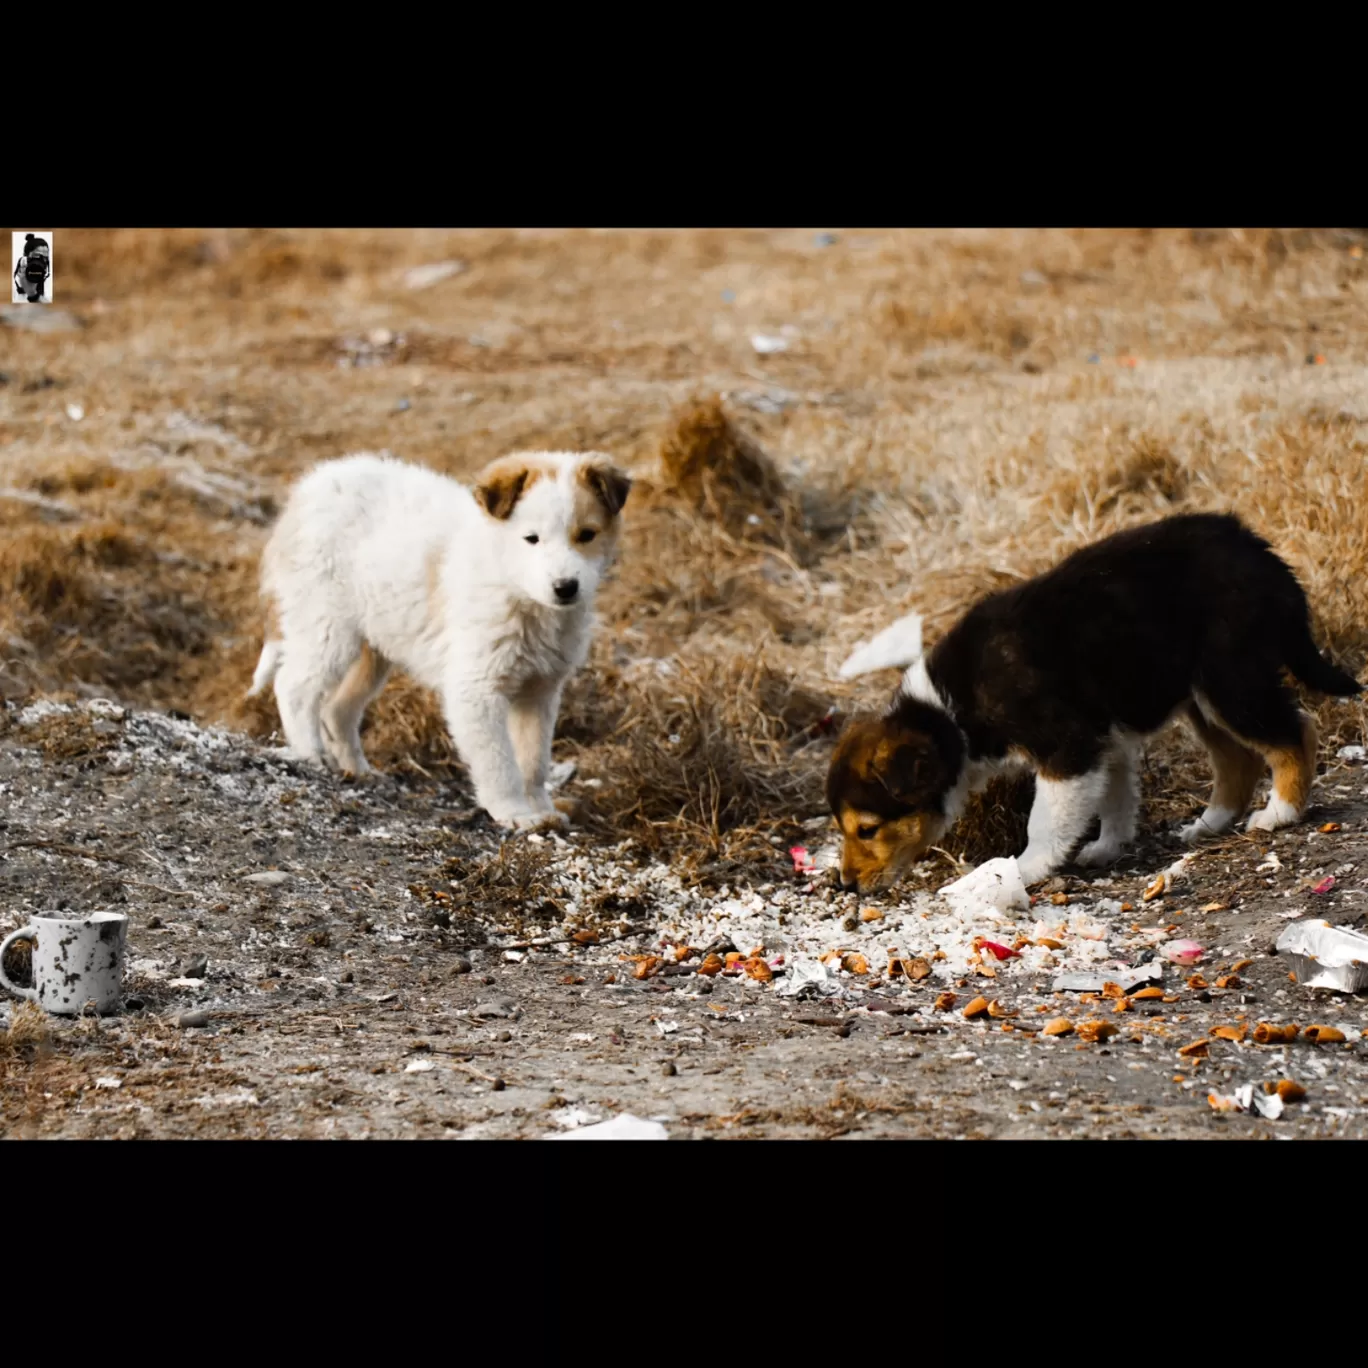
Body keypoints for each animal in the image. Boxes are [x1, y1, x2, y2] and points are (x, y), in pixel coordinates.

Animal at [247, 454, 629, 826]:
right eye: (531, 539)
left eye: (587, 535)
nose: (566, 587)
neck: (514, 587)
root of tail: (306, 493)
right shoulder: (476, 689)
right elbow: (499, 761)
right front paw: (514, 813)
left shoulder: (540, 691)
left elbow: (534, 761)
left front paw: (542, 810)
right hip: (326, 626)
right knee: (293, 686)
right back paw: (310, 754)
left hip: (374, 646)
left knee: (337, 709)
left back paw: (358, 771)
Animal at [826, 517, 1362, 891]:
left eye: (868, 830)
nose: (847, 885)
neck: (950, 712)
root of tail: (1260, 551)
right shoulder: (1106, 745)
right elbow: (1116, 799)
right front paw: (1108, 846)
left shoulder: (1069, 748)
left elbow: (1047, 821)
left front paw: (1025, 868)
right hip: (1198, 695)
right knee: (1237, 759)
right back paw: (1209, 823)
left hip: (1230, 679)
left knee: (1295, 732)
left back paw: (1280, 812)